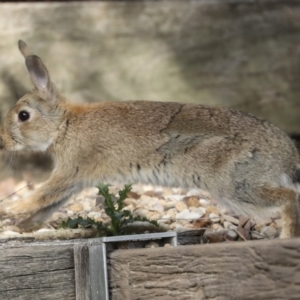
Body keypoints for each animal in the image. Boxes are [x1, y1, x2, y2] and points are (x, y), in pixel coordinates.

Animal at [0, 39, 300, 239]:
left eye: (23, 116)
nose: (3, 142)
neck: (63, 125)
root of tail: (286, 155)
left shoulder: (71, 170)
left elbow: (41, 195)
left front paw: (11, 208)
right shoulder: (75, 180)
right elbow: (48, 205)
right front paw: (20, 225)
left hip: (234, 183)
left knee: (288, 197)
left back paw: (287, 236)